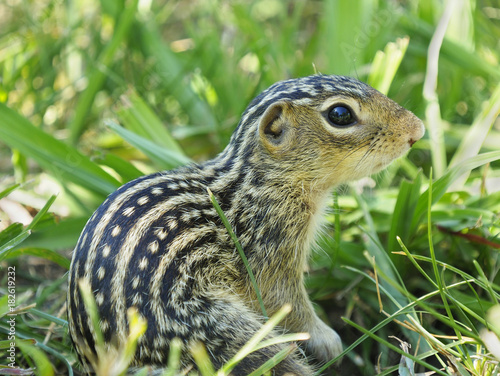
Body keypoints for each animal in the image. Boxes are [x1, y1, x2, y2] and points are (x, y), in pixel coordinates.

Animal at [67, 75, 426, 374]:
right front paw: (328, 339)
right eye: (340, 114)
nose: (418, 130)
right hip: (217, 334)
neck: (259, 180)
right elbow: (288, 303)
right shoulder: (271, 248)